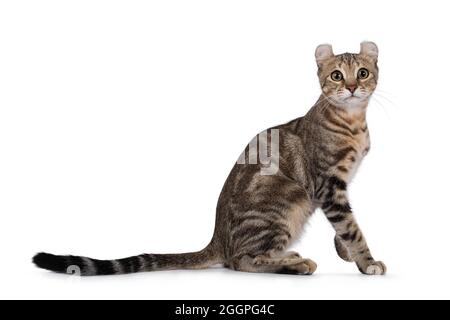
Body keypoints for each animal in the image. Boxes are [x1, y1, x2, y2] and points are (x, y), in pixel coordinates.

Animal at [33, 41, 386, 276]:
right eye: (337, 75)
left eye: (363, 72)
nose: (352, 87)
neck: (353, 122)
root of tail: (217, 239)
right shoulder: (328, 185)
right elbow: (352, 228)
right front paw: (367, 261)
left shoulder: (338, 188)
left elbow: (345, 226)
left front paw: (346, 253)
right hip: (287, 202)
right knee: (242, 260)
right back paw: (295, 264)